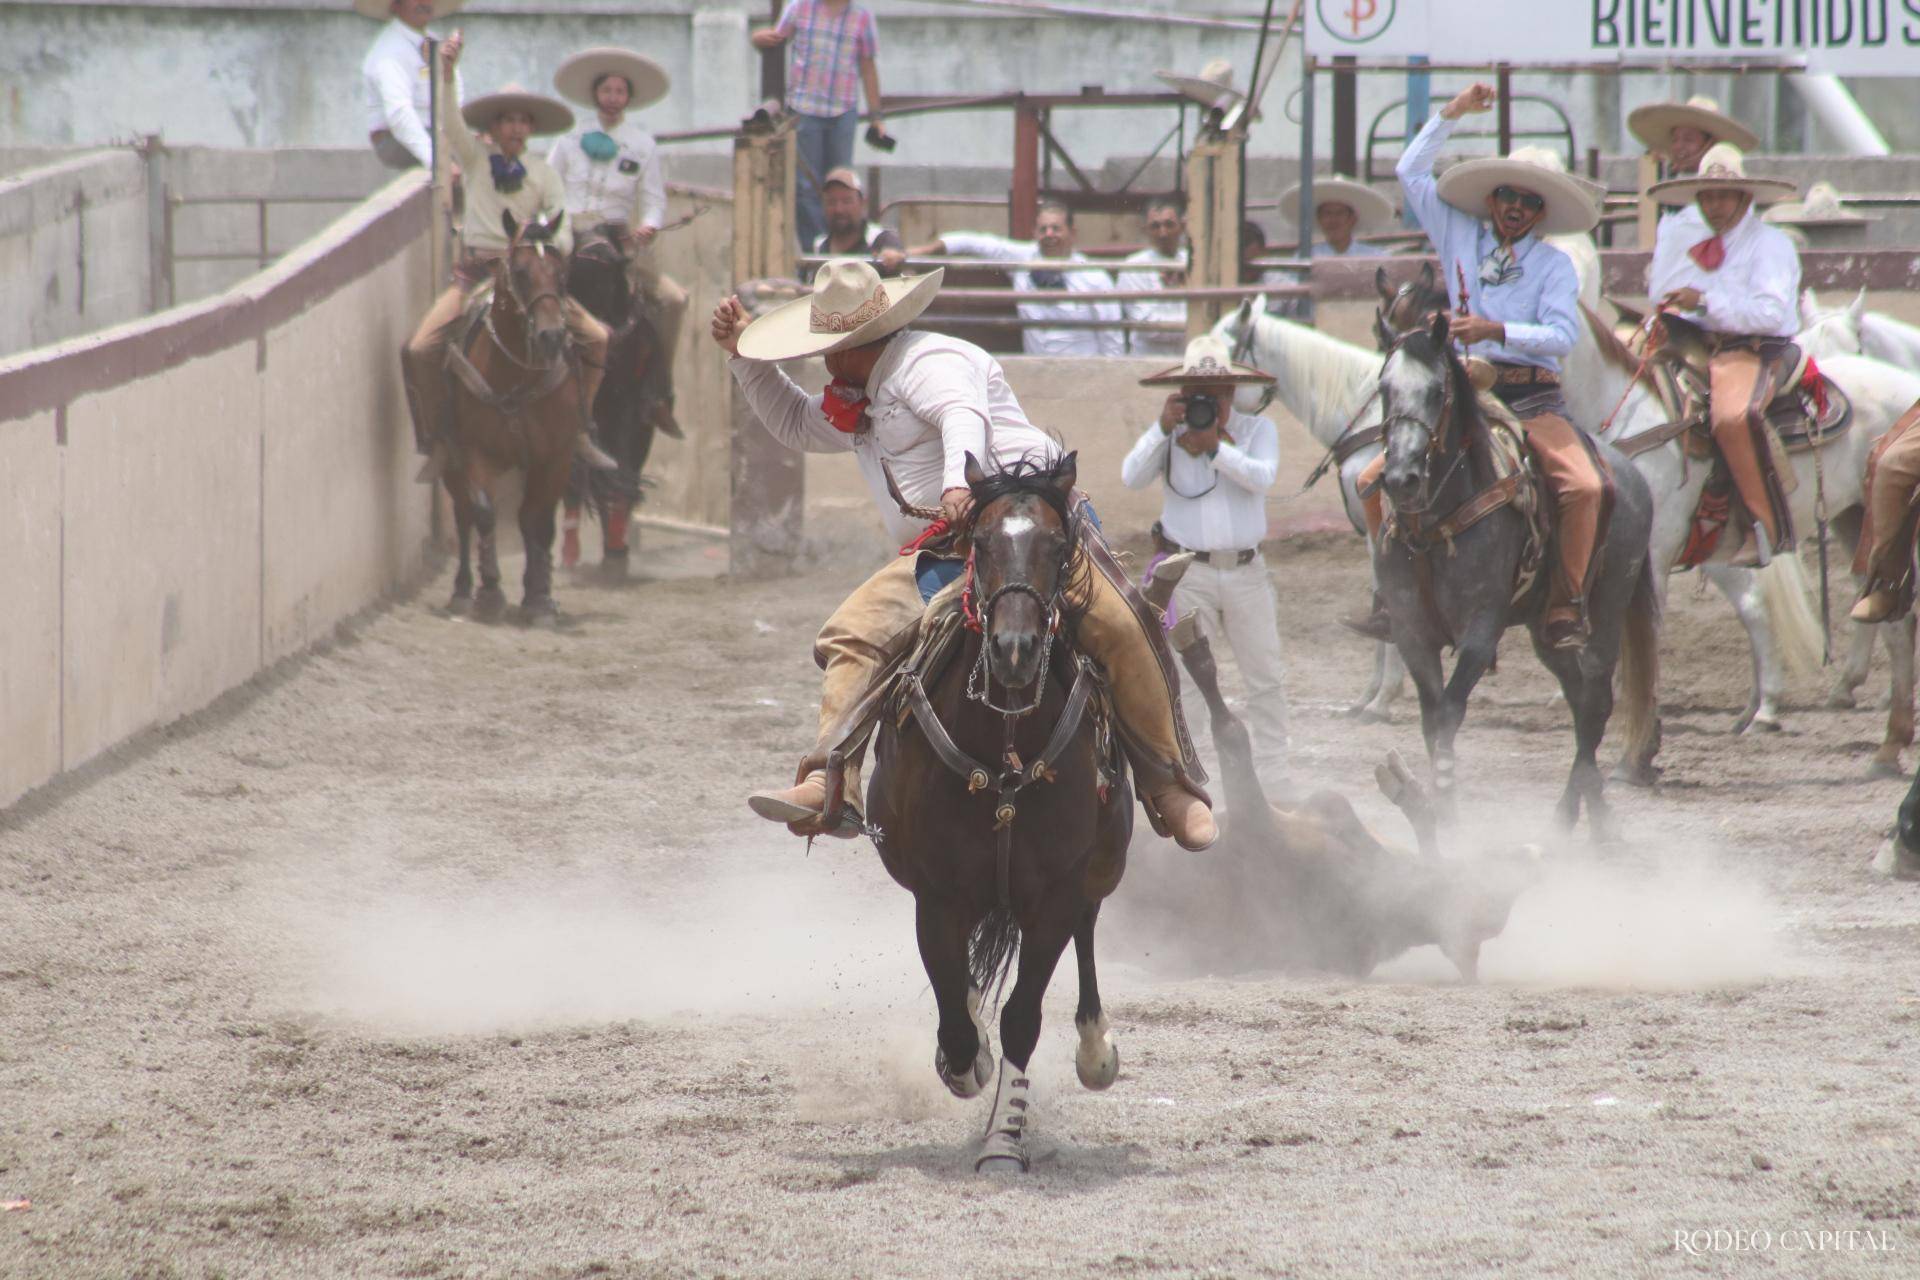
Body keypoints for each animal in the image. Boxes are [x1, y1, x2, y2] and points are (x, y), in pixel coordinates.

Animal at [441, 211, 576, 625]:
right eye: (520, 272)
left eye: (561, 273)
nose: (551, 336)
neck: (515, 376)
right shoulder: (474, 450)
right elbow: (484, 512)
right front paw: (490, 592)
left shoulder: (555, 456)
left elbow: (541, 522)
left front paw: (541, 598)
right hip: (450, 462)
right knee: (464, 513)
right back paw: (462, 591)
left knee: (527, 517)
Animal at [875, 454, 1128, 1174]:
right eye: (981, 545)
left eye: (1057, 546)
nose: (1014, 649)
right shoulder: (937, 896)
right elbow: (958, 1020)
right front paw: (966, 1065)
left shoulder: (1055, 894)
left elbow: (1022, 1015)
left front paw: (1003, 1140)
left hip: (1103, 863)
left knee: (1088, 931)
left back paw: (1095, 1050)